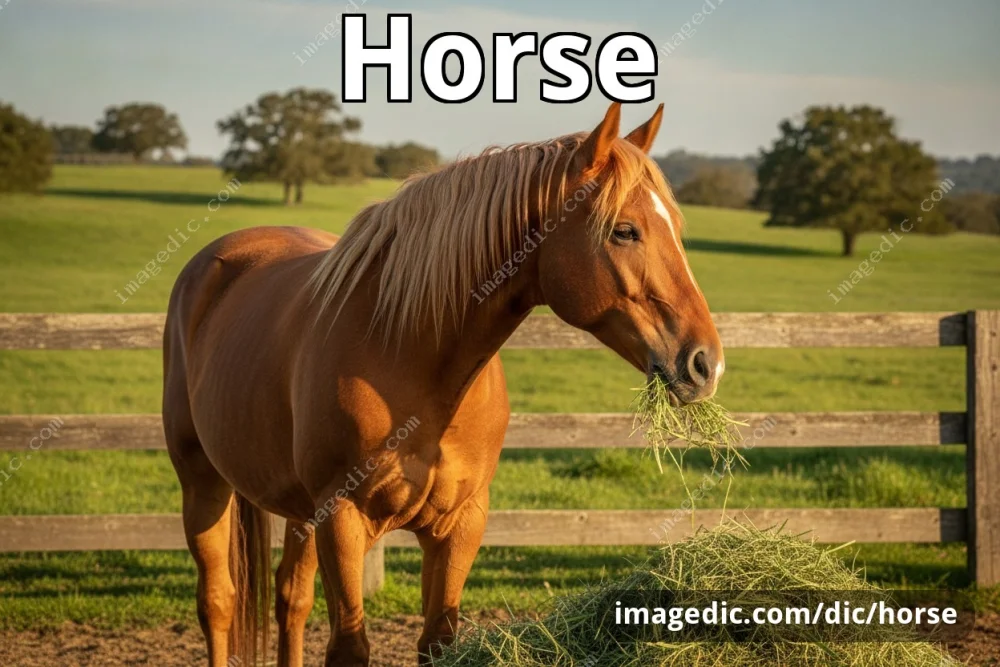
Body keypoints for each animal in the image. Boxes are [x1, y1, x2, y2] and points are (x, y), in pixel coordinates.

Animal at [162, 102, 724, 667]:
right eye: (625, 231)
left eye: (675, 227)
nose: (706, 363)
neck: (411, 357)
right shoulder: (342, 519)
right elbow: (349, 645)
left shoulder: (460, 523)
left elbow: (437, 639)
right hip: (203, 483)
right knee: (218, 601)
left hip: (299, 512)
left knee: (290, 599)